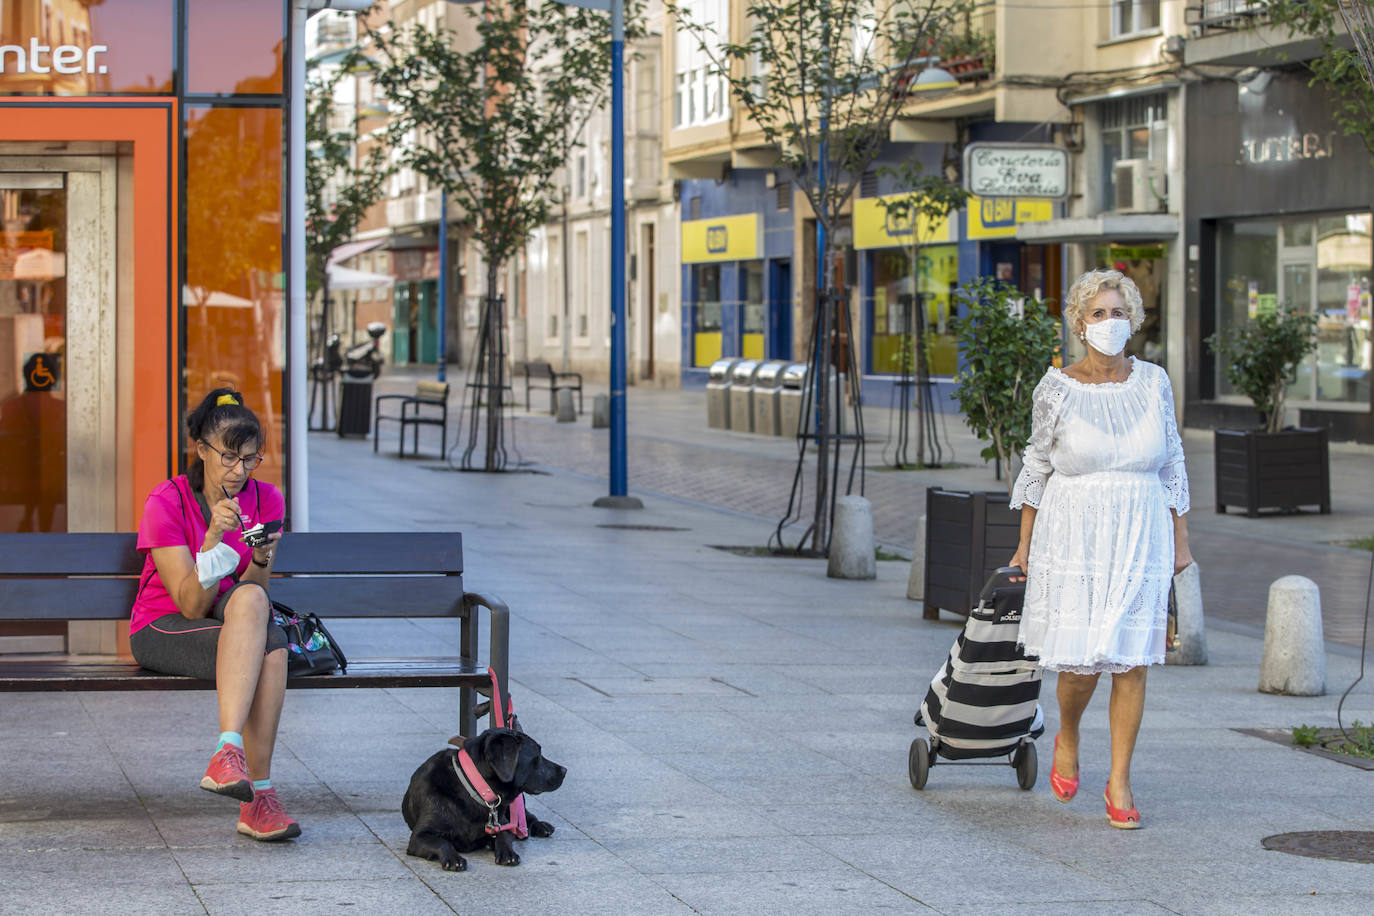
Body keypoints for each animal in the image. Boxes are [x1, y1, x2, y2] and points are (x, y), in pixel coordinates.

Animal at [401, 725, 566, 873]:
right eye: (537, 755)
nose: (564, 770)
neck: (472, 789)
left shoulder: (503, 824)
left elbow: (504, 835)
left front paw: (507, 853)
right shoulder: (419, 837)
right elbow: (442, 842)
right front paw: (454, 858)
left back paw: (540, 826)